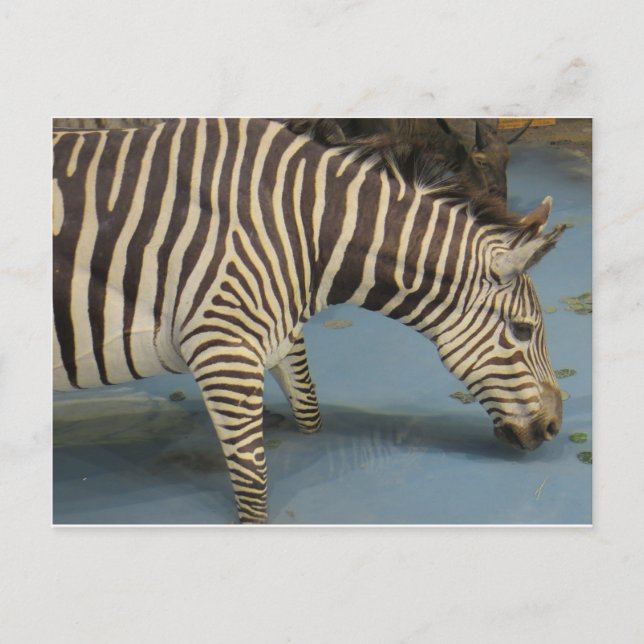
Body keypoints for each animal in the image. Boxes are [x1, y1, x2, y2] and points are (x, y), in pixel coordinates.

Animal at [53, 118, 565, 523]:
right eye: (523, 331)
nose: (555, 429)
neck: (304, 233)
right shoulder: (224, 350)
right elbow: (254, 488)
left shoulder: (278, 336)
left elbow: (310, 414)